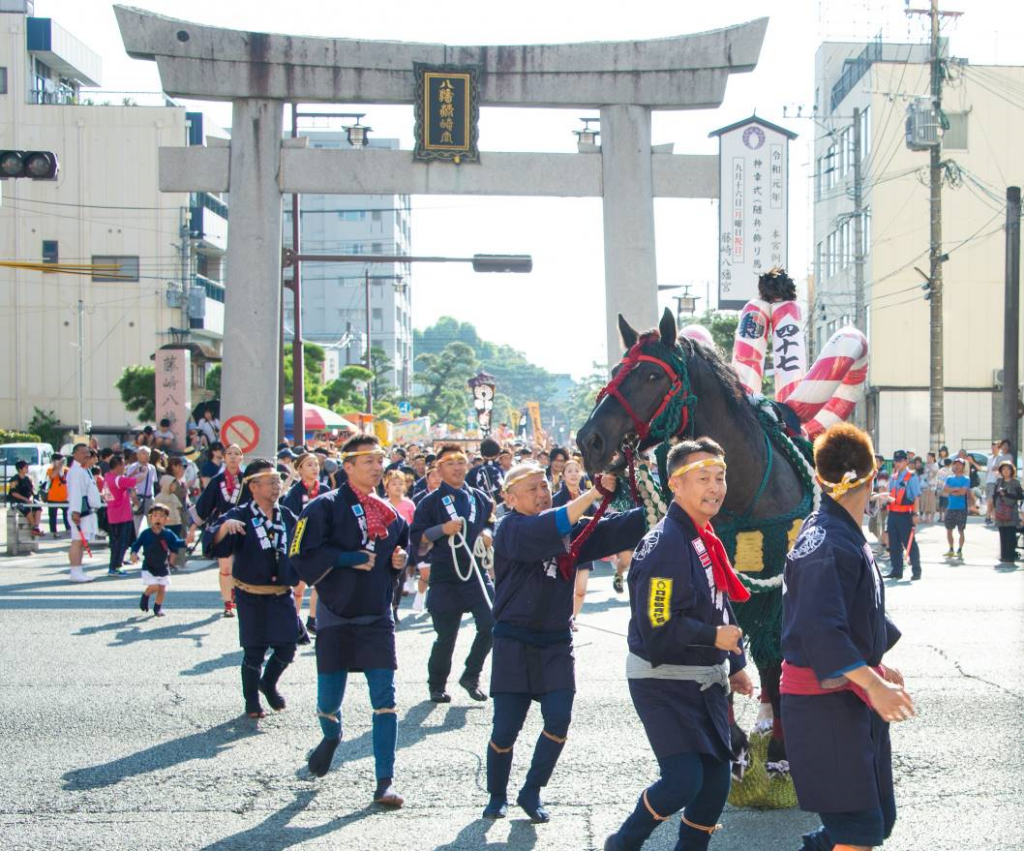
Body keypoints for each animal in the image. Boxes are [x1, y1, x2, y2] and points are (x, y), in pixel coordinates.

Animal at [581, 270, 868, 806]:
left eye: (652, 377)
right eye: (616, 369)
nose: (590, 441)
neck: (745, 492)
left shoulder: (779, 589)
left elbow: (775, 661)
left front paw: (779, 754)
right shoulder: (720, 583)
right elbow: (719, 651)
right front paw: (733, 748)